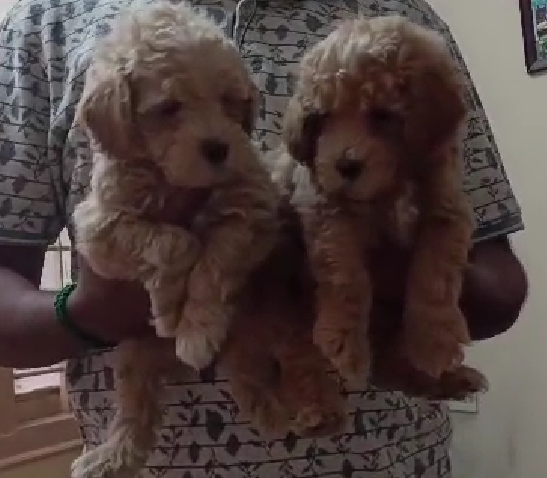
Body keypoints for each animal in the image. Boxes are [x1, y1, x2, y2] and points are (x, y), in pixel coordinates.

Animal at [71, 1, 280, 476]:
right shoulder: (99, 224)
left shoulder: (251, 208)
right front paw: (168, 308)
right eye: (167, 107)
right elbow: (174, 242)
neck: (171, 181)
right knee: (136, 408)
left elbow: (214, 263)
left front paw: (196, 329)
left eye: (230, 101)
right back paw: (110, 458)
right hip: (132, 355)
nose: (220, 148)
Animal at [278, 14, 484, 388]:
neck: (391, 185)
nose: (345, 166)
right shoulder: (324, 205)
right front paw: (346, 343)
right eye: (321, 119)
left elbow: (436, 270)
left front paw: (433, 339)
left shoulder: (447, 207)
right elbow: (347, 276)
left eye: (382, 115)